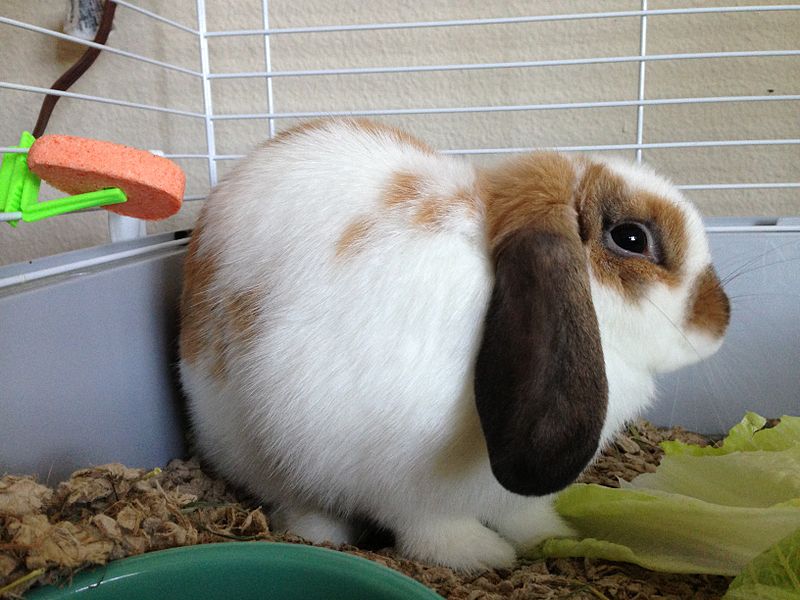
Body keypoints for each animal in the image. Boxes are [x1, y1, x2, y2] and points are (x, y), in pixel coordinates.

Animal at [178, 118, 730, 572]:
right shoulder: (395, 473)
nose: (720, 319)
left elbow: (524, 512)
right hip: (249, 444)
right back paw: (321, 532)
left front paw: (552, 535)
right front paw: (479, 554)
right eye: (632, 238)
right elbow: (429, 523)